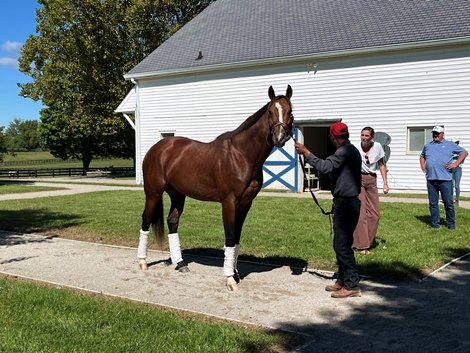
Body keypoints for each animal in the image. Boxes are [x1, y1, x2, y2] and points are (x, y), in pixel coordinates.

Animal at [139, 84, 294, 288]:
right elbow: (229, 237)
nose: (279, 137)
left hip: (178, 194)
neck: (241, 155)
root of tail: (158, 148)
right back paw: (142, 262)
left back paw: (180, 264)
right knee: (146, 220)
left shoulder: (245, 204)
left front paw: (235, 273)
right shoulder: (229, 202)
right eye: (270, 111)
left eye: (290, 111)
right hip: (153, 193)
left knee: (172, 222)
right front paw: (230, 279)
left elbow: (236, 238)